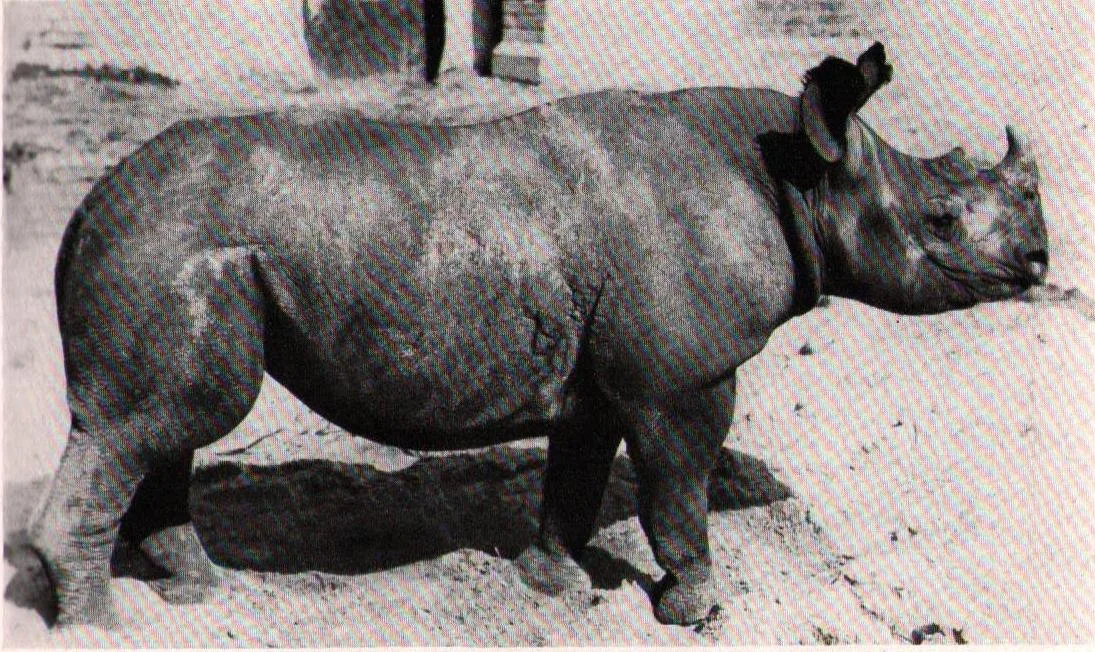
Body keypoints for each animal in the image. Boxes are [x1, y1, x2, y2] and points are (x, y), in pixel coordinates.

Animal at [30, 42, 1048, 628]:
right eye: (942, 219)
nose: (1038, 264)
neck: (798, 174)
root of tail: (85, 205)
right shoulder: (683, 380)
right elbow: (678, 491)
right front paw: (694, 609)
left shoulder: (605, 377)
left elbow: (575, 477)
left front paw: (551, 587)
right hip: (170, 247)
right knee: (151, 423)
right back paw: (100, 625)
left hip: (176, 246)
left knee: (166, 424)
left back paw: (198, 593)